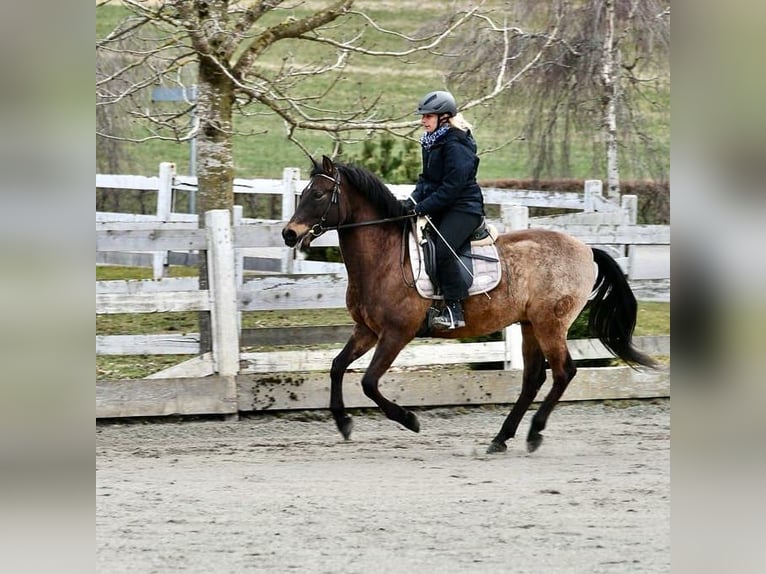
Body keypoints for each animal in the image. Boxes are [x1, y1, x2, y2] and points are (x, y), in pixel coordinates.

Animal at [282, 155, 657, 454]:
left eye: (318, 194)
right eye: (304, 193)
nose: (289, 234)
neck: (384, 258)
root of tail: (586, 249)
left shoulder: (396, 334)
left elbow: (369, 383)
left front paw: (409, 420)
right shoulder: (367, 331)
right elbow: (336, 367)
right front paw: (343, 422)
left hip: (551, 324)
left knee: (564, 372)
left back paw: (534, 433)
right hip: (530, 325)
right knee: (533, 378)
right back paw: (501, 438)